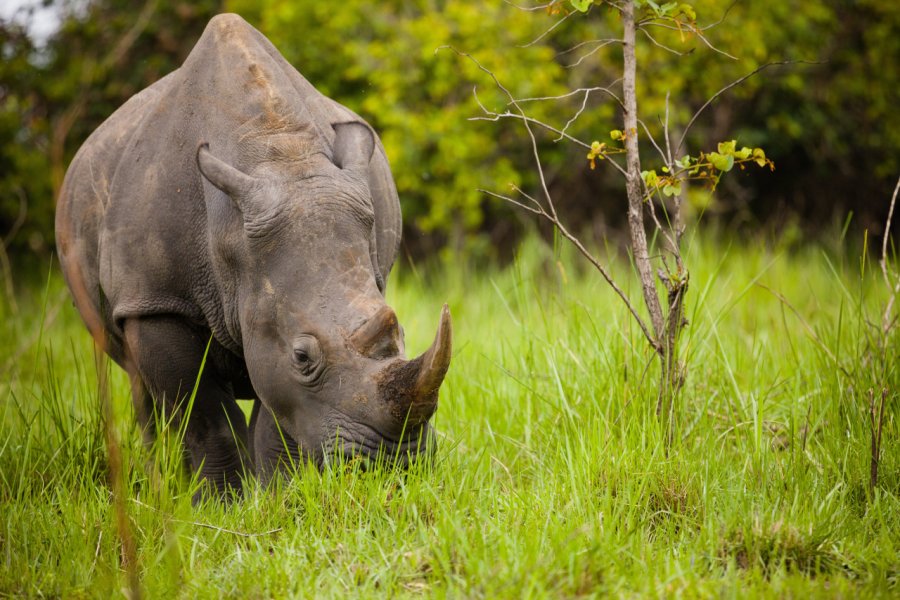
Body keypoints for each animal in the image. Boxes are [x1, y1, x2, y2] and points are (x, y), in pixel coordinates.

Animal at [54, 12, 450, 496]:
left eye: (404, 332)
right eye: (303, 357)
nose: (394, 465)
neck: (280, 153)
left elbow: (278, 416)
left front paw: (280, 494)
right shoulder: (156, 301)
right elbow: (204, 417)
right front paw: (219, 502)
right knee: (141, 385)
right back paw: (161, 488)